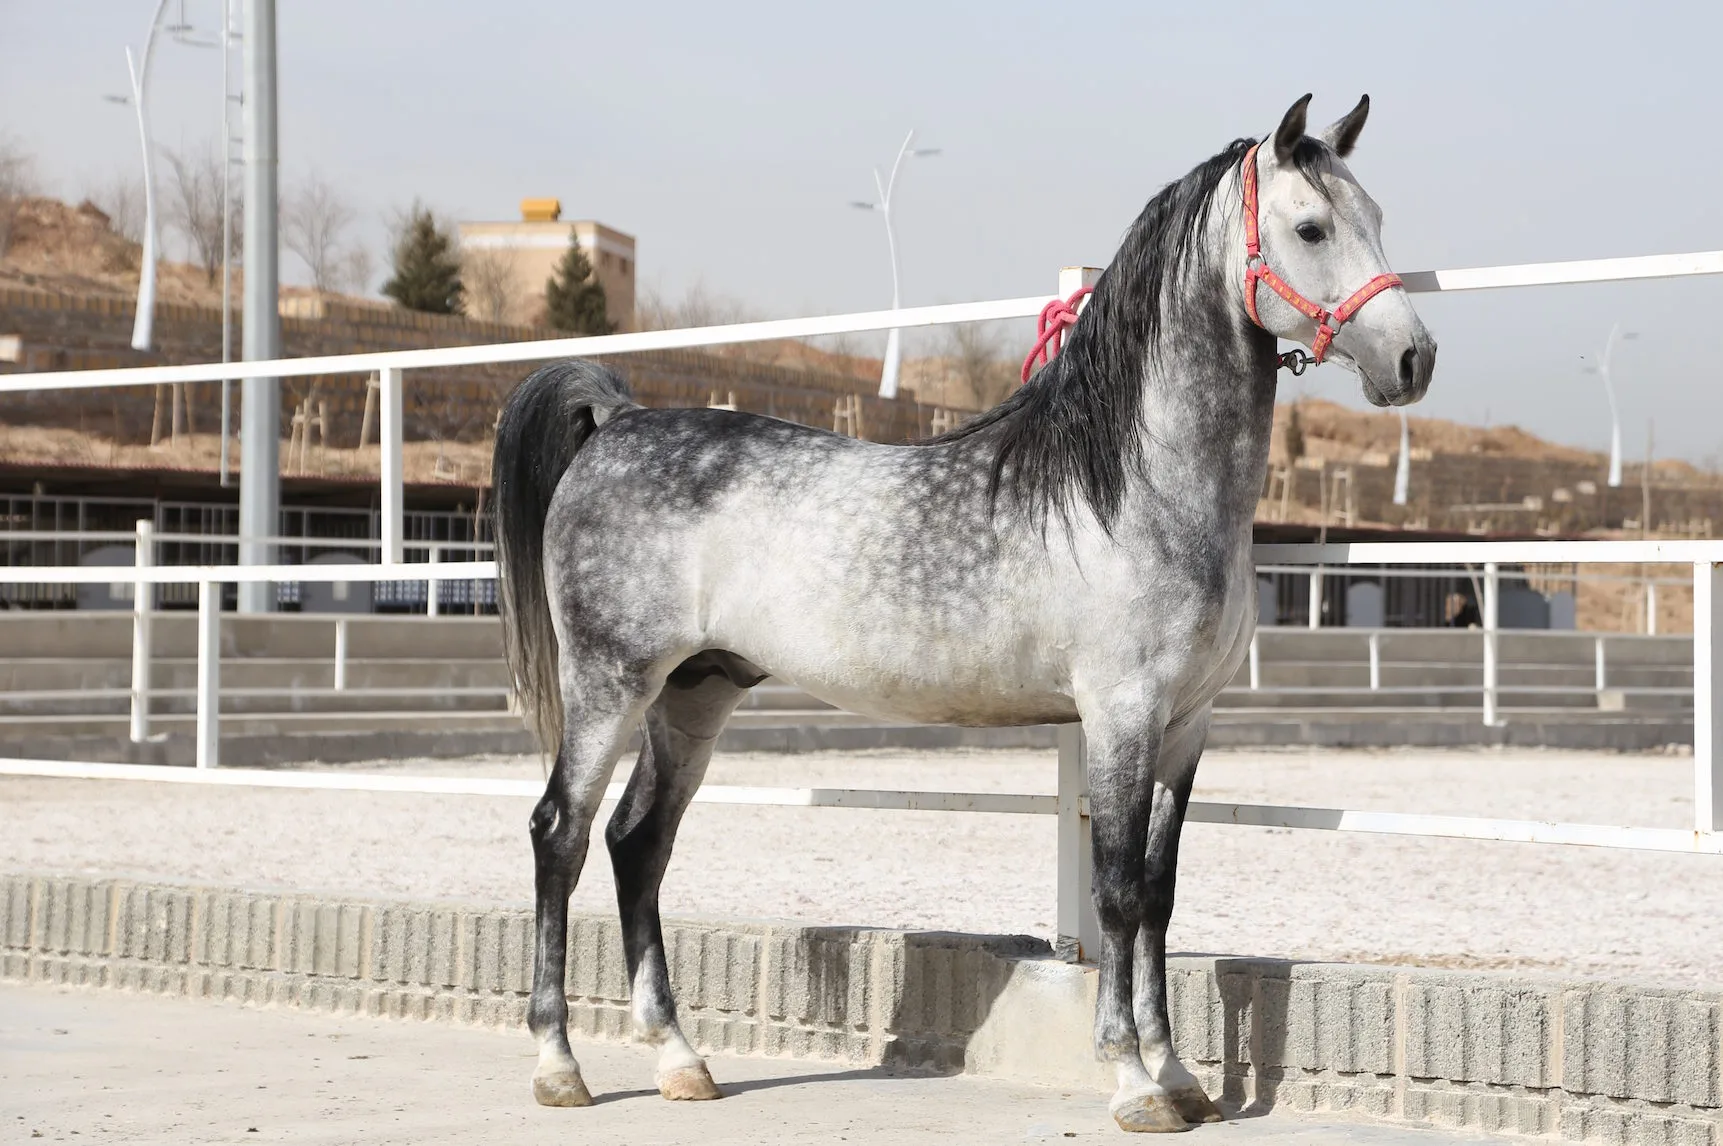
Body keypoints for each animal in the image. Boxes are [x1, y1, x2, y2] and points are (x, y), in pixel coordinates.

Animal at [491, 93, 1435, 1133]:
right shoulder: (1121, 713)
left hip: (695, 694)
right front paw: (1132, 1082)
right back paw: (559, 1067)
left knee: (638, 843)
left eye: (1375, 217)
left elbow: (1159, 892)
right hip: (609, 681)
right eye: (1309, 229)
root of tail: (615, 423)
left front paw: (1181, 1076)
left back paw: (679, 1059)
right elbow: (1115, 891)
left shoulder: (1187, 724)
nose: (1412, 357)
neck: (1133, 484)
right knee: (560, 834)